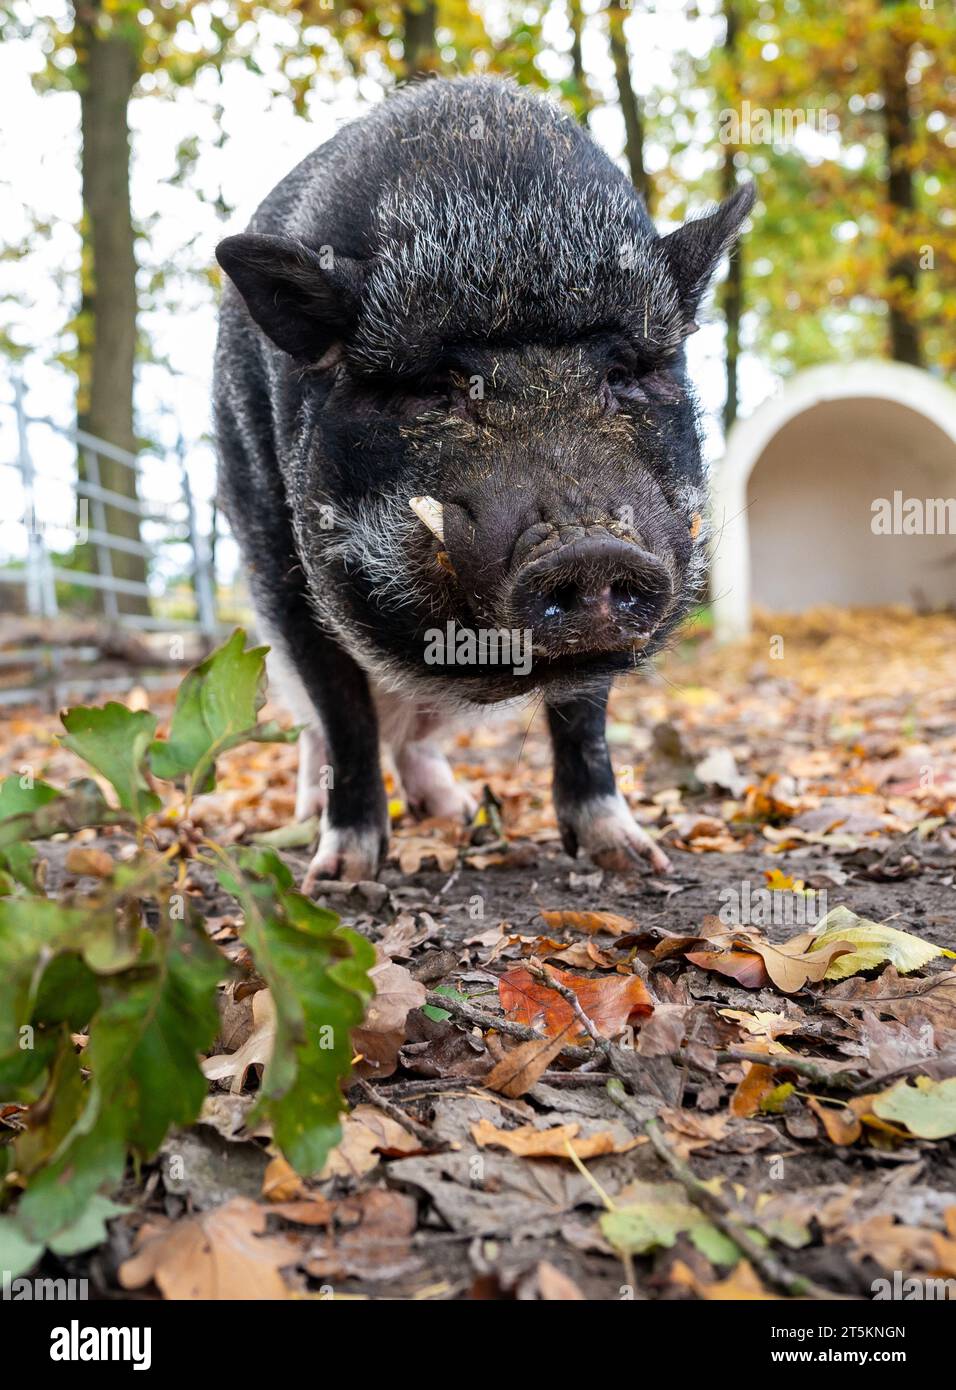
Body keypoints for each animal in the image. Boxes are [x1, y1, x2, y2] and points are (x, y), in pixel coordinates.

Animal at [215, 76, 755, 884]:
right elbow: (343, 715)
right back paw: (321, 823)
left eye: (621, 372)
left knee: (416, 733)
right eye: (437, 385)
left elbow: (584, 715)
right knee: (325, 722)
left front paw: (636, 860)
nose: (590, 547)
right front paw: (340, 879)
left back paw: (456, 811)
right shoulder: (284, 569)